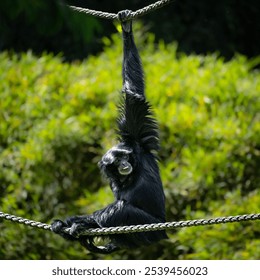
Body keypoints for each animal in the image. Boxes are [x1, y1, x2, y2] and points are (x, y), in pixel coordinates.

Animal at [51, 10, 168, 254]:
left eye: (124, 158)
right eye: (116, 163)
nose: (124, 165)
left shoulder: (137, 141)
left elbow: (133, 95)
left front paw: (126, 28)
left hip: (152, 229)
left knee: (122, 209)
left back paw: (82, 224)